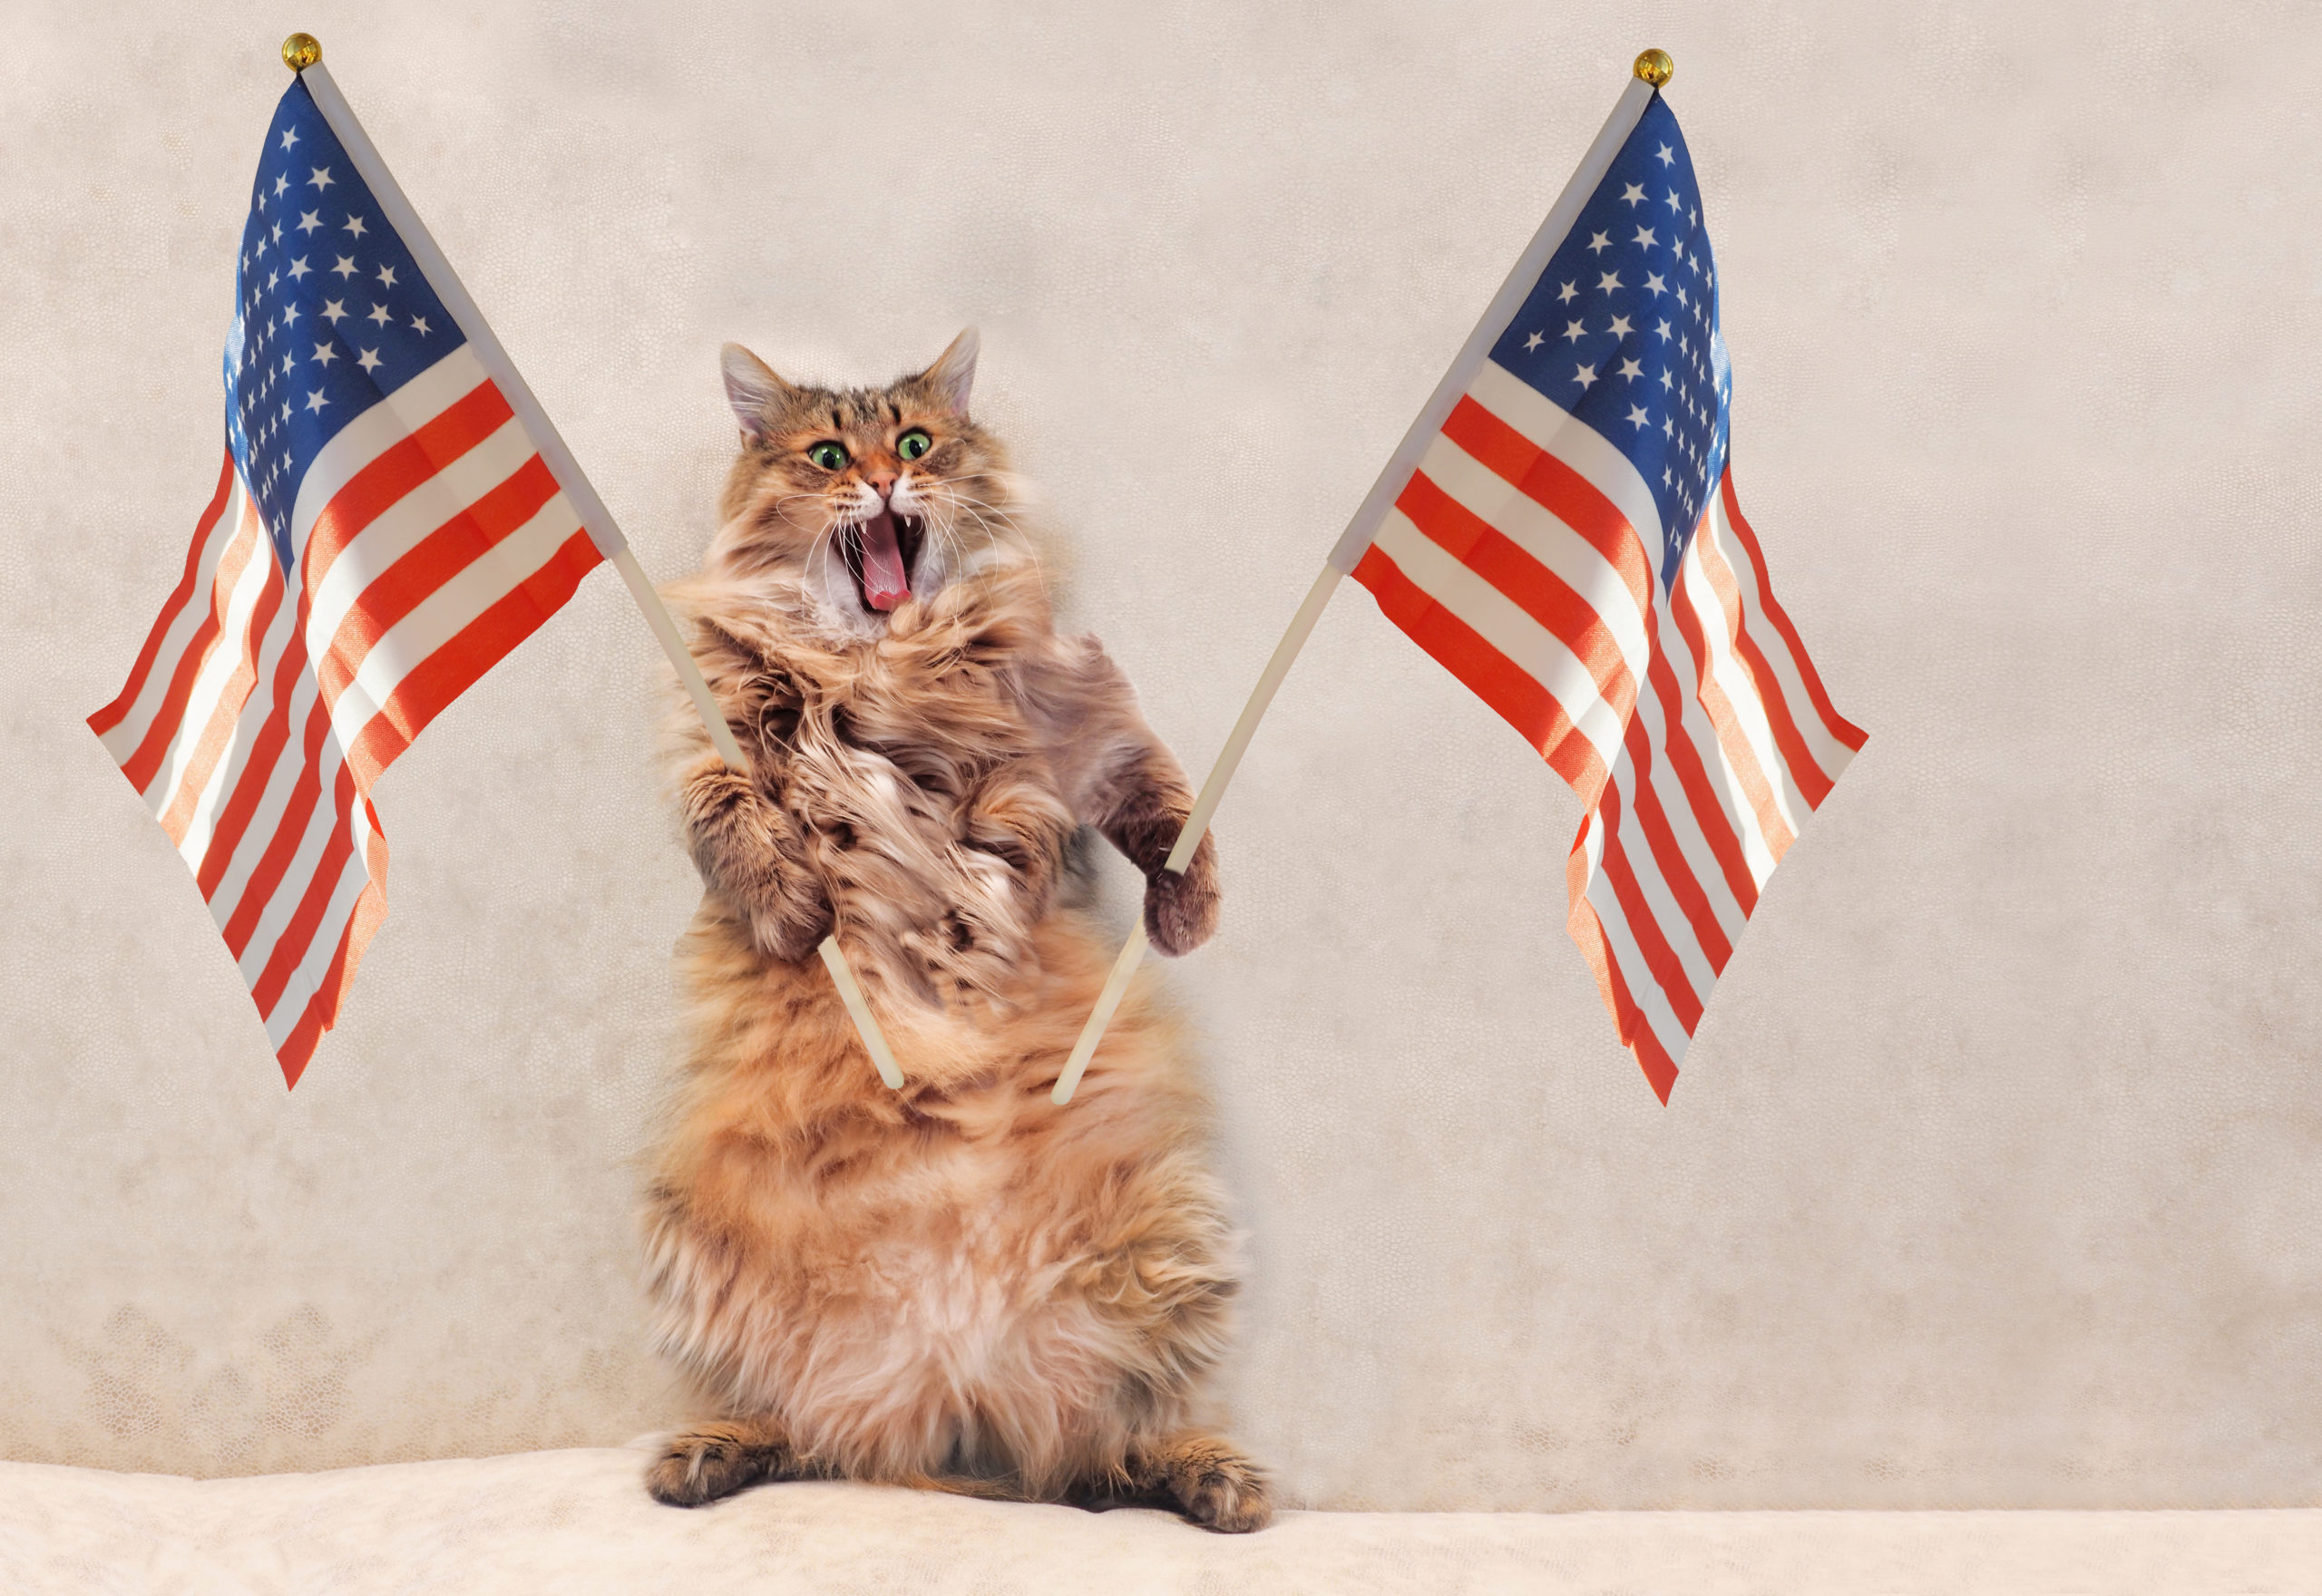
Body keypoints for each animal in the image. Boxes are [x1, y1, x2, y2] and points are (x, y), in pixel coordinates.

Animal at [636, 326, 1272, 1531]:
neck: (881, 653)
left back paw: (1219, 1476)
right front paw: (797, 907)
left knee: (1106, 1454)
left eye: (919, 443)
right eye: (829, 454)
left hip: (1157, 1244)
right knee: (805, 1431)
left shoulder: (1070, 722)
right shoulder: (713, 738)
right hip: (706, 1249)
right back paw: (700, 1453)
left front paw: (1176, 906)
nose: (887, 481)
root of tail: (951, 1383)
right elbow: (733, 821)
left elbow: (1142, 798)